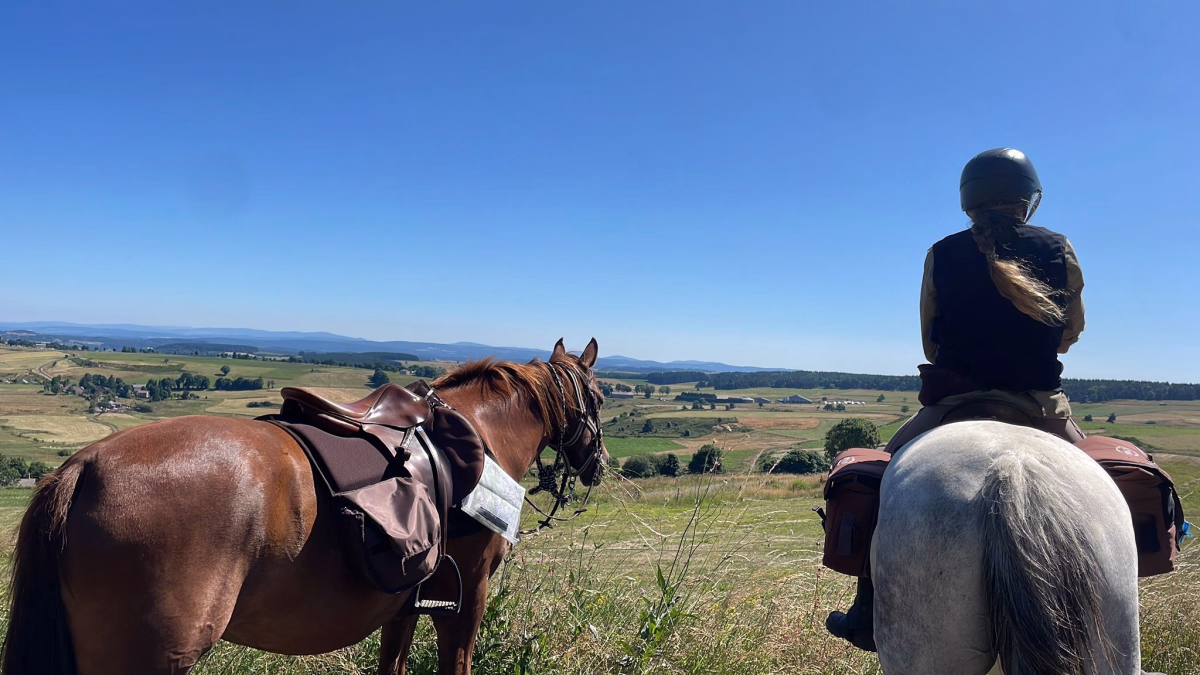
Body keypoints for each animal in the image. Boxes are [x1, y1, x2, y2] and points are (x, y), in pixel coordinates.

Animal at [2, 338, 608, 675]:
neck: (479, 437)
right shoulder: (467, 599)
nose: (600, 463)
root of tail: (81, 469)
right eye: (601, 398)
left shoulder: (404, 605)